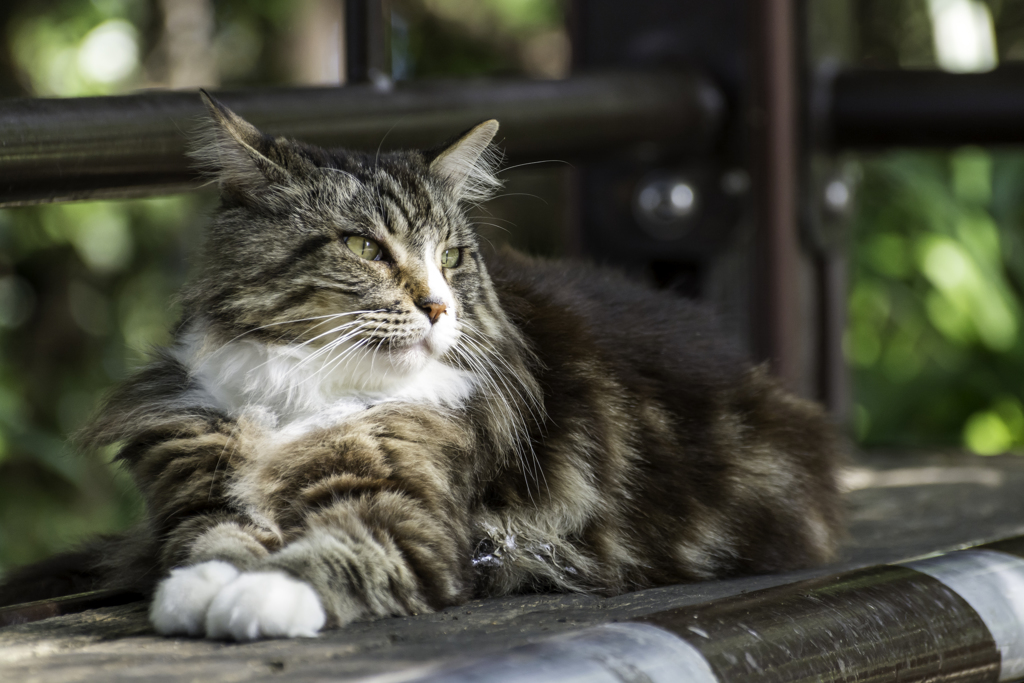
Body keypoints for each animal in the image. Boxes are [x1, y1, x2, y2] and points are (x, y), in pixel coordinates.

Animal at [0, 92, 843, 643]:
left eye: (454, 256)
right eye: (365, 248)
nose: (439, 306)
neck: (303, 393)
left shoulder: (414, 515)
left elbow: (336, 553)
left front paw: (258, 595)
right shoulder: (197, 482)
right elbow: (212, 540)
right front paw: (204, 586)